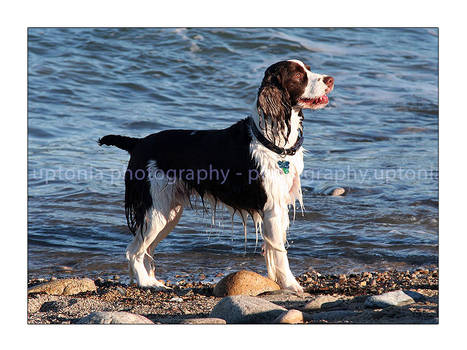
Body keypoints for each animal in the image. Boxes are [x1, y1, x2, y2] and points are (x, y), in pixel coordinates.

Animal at [99, 60, 332, 292]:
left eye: (308, 69)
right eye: (298, 75)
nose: (330, 79)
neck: (270, 140)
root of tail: (137, 143)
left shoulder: (280, 207)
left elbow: (273, 251)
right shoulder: (272, 208)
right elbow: (281, 253)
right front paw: (291, 285)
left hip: (168, 212)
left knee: (146, 250)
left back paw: (151, 281)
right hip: (155, 211)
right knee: (134, 250)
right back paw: (147, 283)